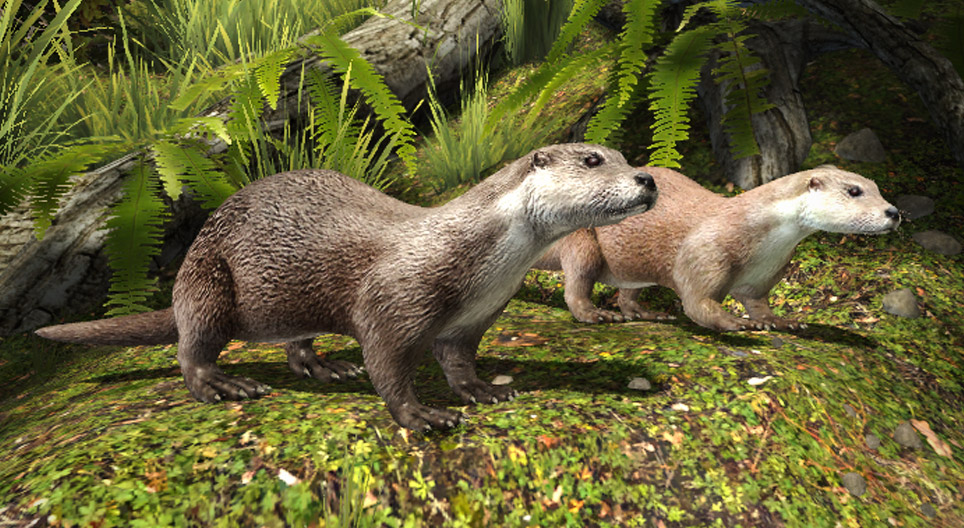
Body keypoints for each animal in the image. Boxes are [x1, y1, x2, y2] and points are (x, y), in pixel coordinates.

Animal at [36, 144, 658, 431]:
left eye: (625, 156)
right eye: (593, 159)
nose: (648, 179)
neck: (475, 255)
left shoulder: (471, 320)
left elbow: (458, 361)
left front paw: (483, 390)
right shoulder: (393, 300)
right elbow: (387, 364)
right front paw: (422, 416)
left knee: (295, 345)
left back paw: (326, 368)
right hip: (207, 282)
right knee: (192, 347)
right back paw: (223, 385)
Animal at [534, 165, 900, 332]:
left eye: (877, 188)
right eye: (854, 191)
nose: (894, 212)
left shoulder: (764, 275)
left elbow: (758, 303)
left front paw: (780, 321)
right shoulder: (705, 251)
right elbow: (697, 303)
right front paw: (735, 321)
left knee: (628, 294)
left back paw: (647, 313)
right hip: (583, 240)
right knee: (577, 284)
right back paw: (595, 313)